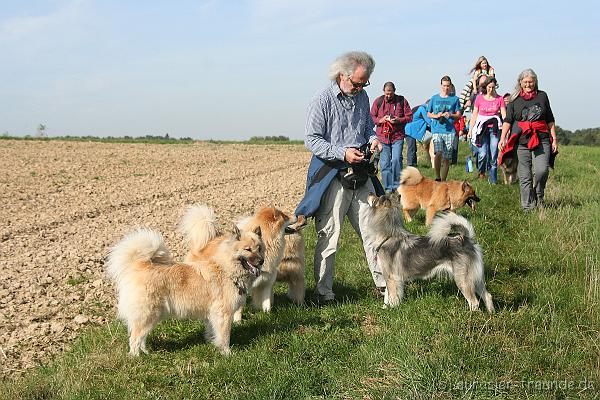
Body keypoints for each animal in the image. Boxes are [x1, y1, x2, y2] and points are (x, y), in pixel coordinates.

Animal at [105, 225, 262, 356]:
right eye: (247, 249)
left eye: (259, 248)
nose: (261, 261)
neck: (226, 269)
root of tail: (141, 266)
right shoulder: (224, 314)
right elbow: (224, 336)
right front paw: (227, 353)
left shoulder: (212, 315)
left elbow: (212, 331)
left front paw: (212, 343)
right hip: (148, 314)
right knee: (135, 338)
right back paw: (136, 357)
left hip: (152, 317)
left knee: (141, 337)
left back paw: (146, 352)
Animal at [364, 191, 494, 312]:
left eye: (376, 198)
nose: (369, 192)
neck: (388, 236)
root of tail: (465, 239)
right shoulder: (390, 278)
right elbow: (387, 296)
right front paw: (385, 308)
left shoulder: (391, 278)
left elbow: (392, 297)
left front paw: (392, 310)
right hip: (475, 277)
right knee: (487, 296)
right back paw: (491, 314)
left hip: (463, 278)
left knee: (474, 302)